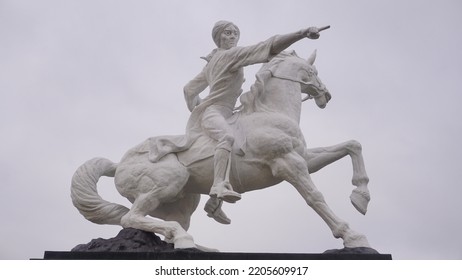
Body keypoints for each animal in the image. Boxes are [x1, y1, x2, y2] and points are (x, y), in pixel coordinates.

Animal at [71, 51, 372, 250]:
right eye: (312, 72)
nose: (326, 95)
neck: (269, 112)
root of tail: (118, 165)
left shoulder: (305, 159)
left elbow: (352, 145)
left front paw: (361, 197)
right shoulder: (287, 163)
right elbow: (315, 197)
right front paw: (351, 235)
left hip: (183, 200)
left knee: (156, 224)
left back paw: (199, 243)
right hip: (166, 184)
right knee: (130, 217)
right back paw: (186, 237)